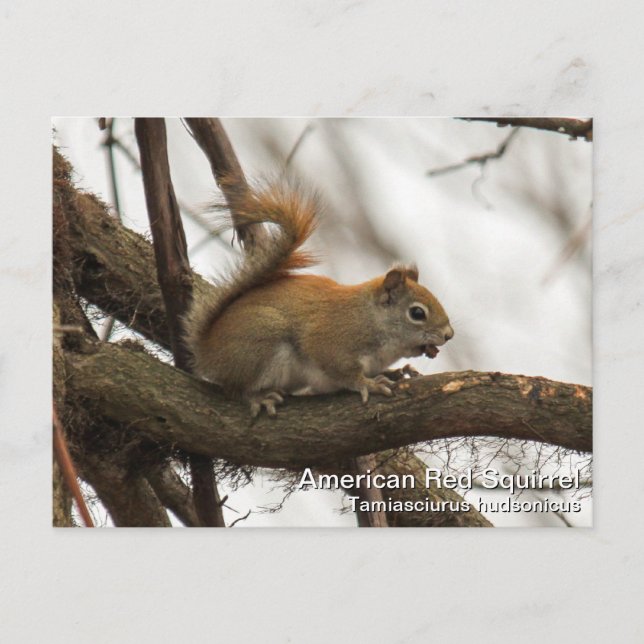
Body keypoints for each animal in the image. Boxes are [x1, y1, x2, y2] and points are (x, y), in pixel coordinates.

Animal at [184, 181, 454, 417]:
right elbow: (343, 371)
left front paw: (398, 372)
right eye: (417, 313)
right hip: (260, 340)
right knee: (234, 388)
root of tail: (206, 352)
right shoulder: (331, 342)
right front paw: (369, 384)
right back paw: (257, 397)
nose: (449, 335)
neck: (371, 319)